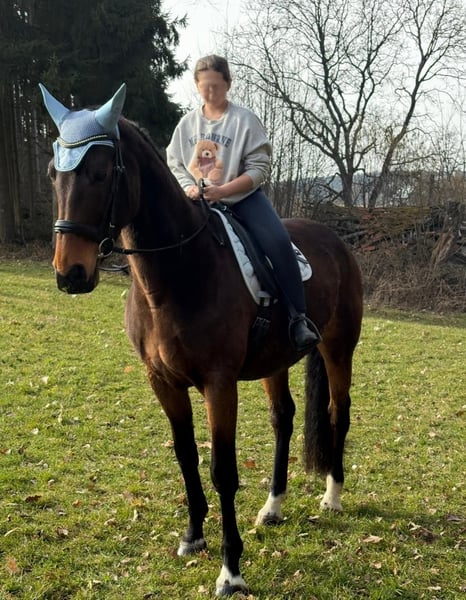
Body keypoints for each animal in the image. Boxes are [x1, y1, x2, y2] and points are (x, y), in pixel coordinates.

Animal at [40, 84, 363, 596]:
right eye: (54, 174)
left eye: (100, 172)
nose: (69, 274)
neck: (178, 272)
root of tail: (336, 240)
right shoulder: (163, 382)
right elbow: (187, 458)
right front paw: (193, 536)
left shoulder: (219, 383)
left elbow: (222, 471)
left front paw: (231, 570)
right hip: (276, 362)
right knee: (283, 419)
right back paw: (273, 507)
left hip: (338, 347)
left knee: (337, 412)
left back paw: (332, 496)